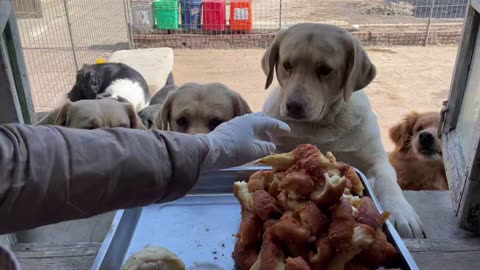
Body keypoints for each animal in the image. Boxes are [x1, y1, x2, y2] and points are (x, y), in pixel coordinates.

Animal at [262, 23, 424, 238]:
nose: (294, 106)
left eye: (325, 69)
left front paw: (402, 212)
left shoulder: (377, 160)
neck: (319, 125)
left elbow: (388, 181)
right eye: (287, 65)